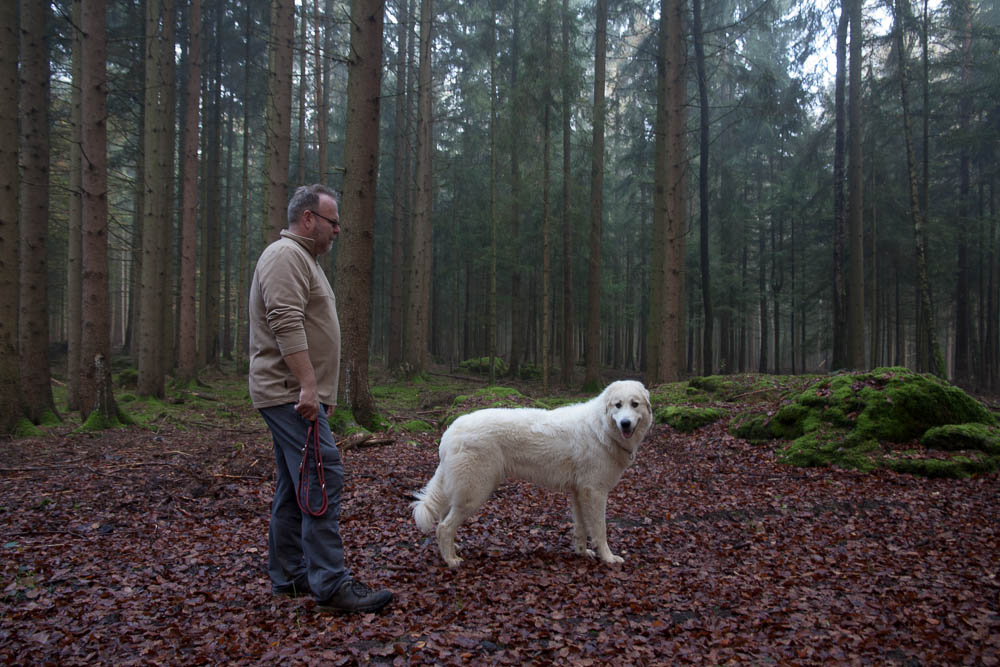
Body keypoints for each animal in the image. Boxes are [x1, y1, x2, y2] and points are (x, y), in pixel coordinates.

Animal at [410, 380, 652, 568]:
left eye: (634, 404)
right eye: (618, 405)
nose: (625, 423)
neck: (602, 429)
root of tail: (450, 430)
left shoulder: (579, 493)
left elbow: (581, 528)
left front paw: (582, 552)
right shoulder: (595, 492)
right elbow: (600, 530)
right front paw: (608, 557)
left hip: (463, 490)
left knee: (443, 520)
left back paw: (453, 547)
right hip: (475, 492)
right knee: (444, 527)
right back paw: (451, 560)